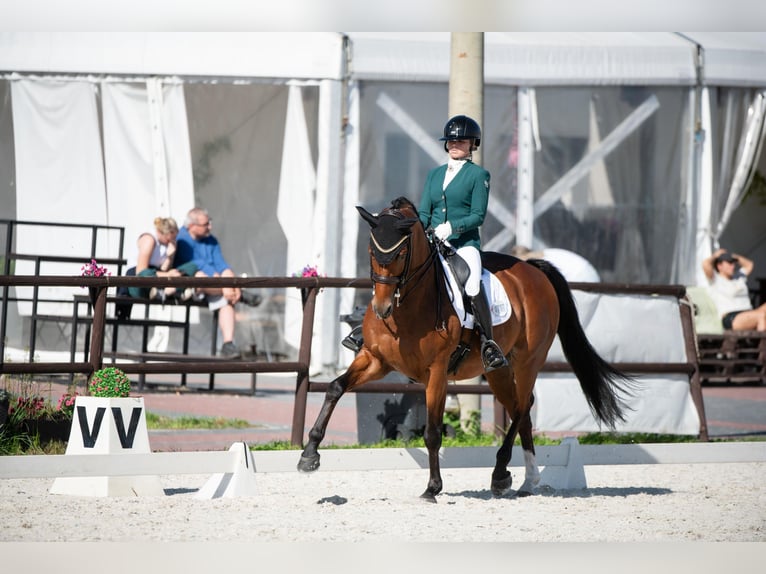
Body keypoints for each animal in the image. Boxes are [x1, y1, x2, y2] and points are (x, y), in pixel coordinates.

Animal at [297, 196, 632, 502]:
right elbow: (335, 388)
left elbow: (432, 432)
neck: (407, 306)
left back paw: (501, 475)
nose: (381, 309)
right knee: (519, 408)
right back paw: (526, 481)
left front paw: (432, 488)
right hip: (497, 371)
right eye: (371, 251)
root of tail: (534, 271)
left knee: (523, 405)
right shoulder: (376, 360)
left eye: (401, 252)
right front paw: (309, 455)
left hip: (528, 361)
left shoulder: (436, 372)